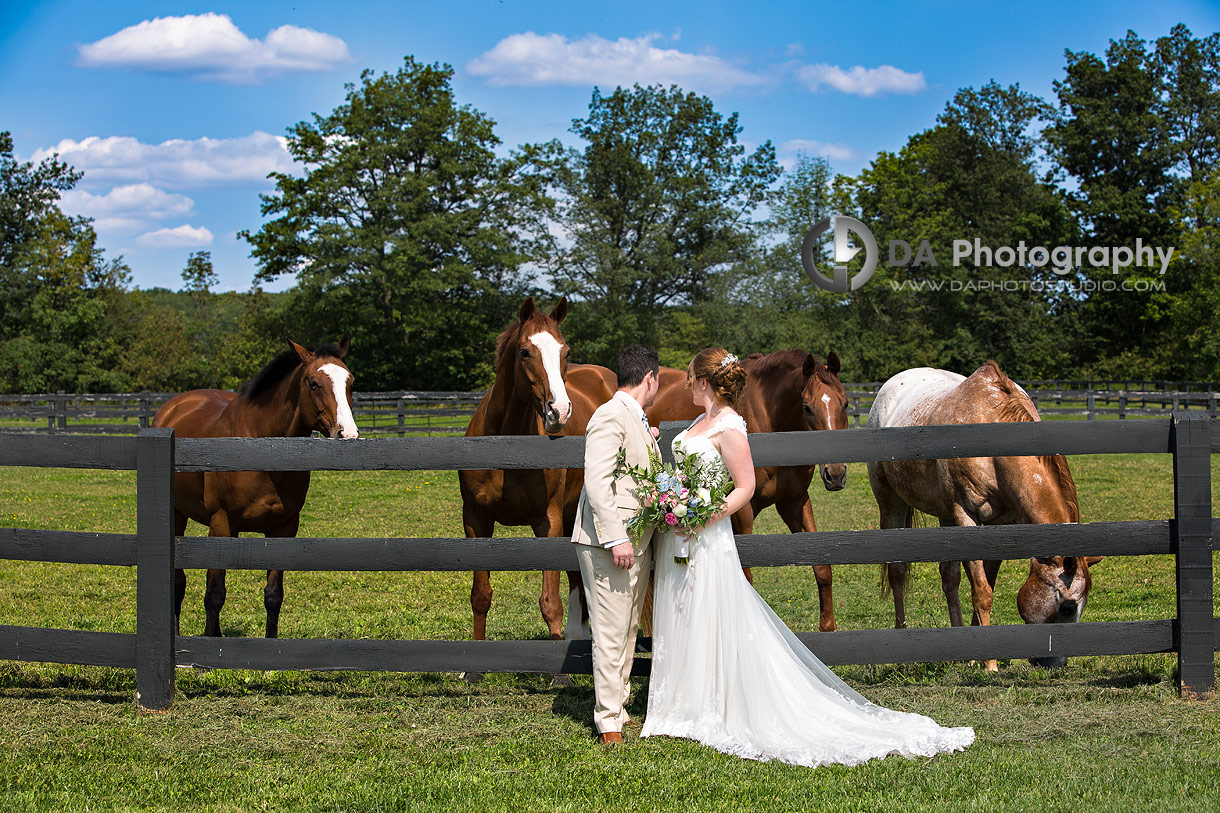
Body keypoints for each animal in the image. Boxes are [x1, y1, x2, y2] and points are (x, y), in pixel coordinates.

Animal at [149, 332, 356, 634]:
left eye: (350, 382)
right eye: (313, 383)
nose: (347, 433)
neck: (261, 448)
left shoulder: (284, 528)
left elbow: (273, 596)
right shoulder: (221, 525)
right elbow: (214, 595)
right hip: (178, 515)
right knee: (178, 583)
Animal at [458, 294, 614, 644]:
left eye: (565, 352)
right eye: (525, 352)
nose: (559, 411)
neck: (508, 448)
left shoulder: (548, 521)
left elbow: (550, 602)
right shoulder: (476, 520)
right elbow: (480, 596)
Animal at [649, 344, 849, 629]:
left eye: (845, 403)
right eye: (808, 408)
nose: (836, 473)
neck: (770, 419)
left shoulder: (794, 501)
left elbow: (821, 567)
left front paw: (828, 628)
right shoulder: (744, 510)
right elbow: (747, 574)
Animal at [863, 361, 1102, 664]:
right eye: (1069, 607)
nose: (1057, 663)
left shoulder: (1001, 525)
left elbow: (986, 582)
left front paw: (976, 654)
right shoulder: (968, 518)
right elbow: (981, 591)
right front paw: (989, 664)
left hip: (945, 514)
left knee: (949, 577)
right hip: (891, 502)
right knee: (897, 572)